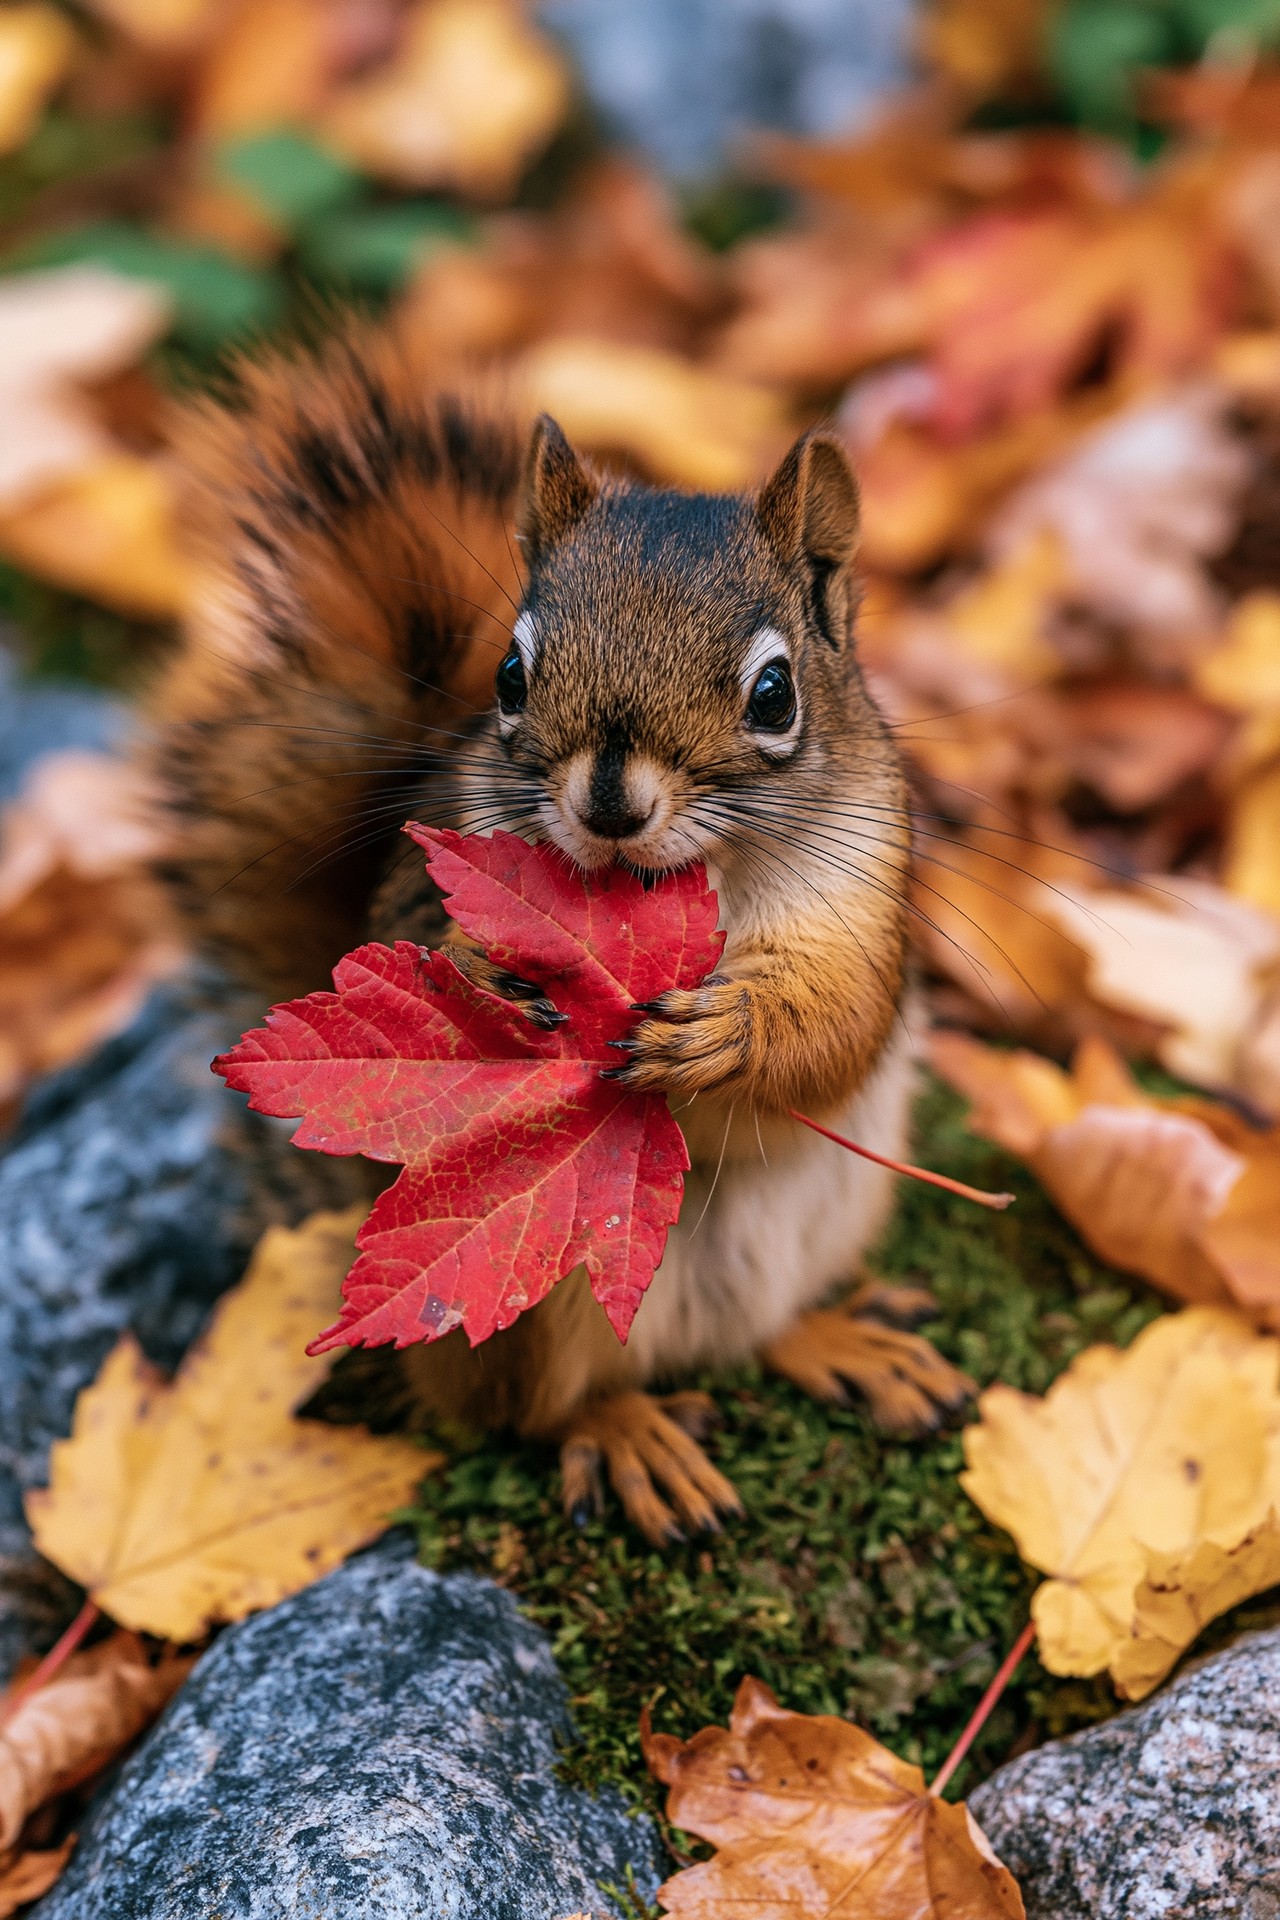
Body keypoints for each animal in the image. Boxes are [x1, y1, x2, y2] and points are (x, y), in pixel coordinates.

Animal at [145, 327, 971, 1544]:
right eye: (509, 673)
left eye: (775, 693)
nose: (611, 804)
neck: (685, 887)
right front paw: (492, 978)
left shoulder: (860, 890)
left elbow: (836, 1022)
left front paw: (723, 1034)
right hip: (524, 1304)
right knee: (531, 1410)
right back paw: (628, 1435)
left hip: (832, 1219)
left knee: (757, 1333)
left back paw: (844, 1344)